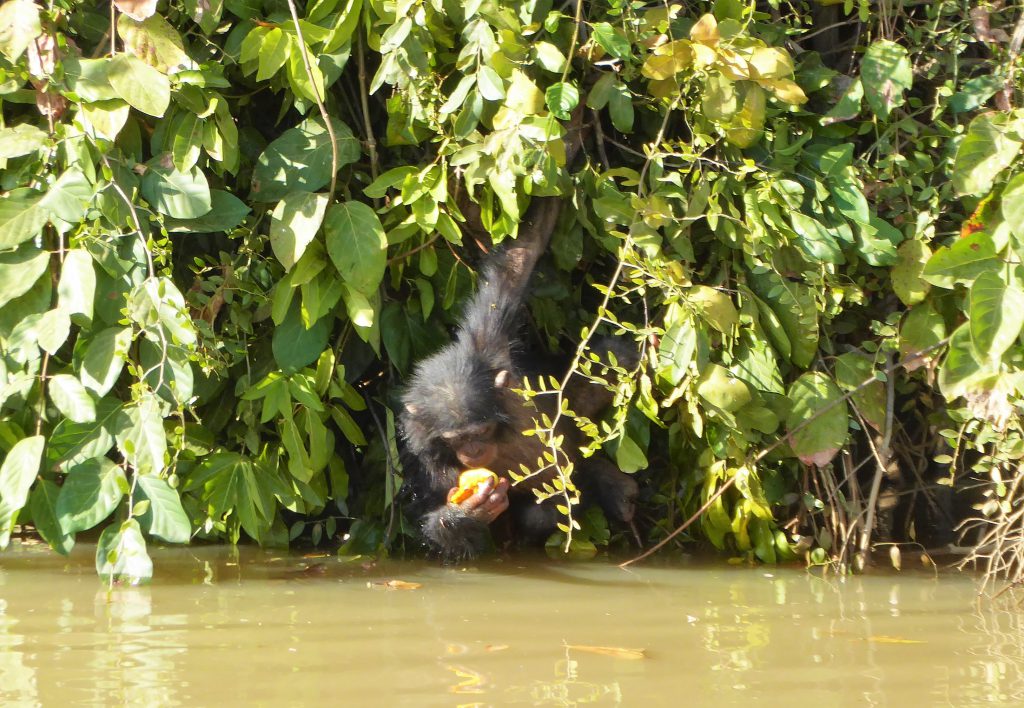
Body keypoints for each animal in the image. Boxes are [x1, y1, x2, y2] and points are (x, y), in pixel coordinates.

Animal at [401, 197, 634, 561]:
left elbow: (519, 260)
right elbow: (442, 529)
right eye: (456, 439)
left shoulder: (493, 343)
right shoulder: (423, 456)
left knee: (615, 359)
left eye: (481, 431)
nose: (474, 449)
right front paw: (464, 514)